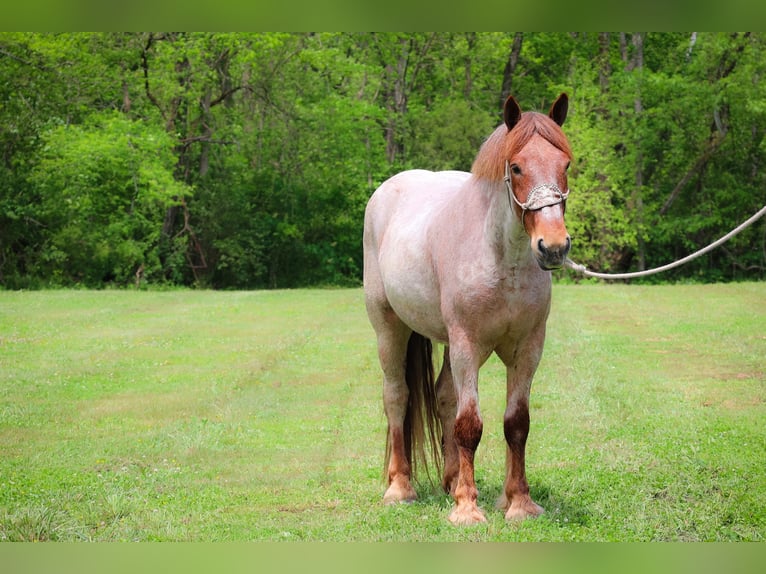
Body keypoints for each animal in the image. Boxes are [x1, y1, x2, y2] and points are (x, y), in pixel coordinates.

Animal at [364, 91, 572, 528]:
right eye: (516, 166)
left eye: (565, 164)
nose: (553, 246)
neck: (502, 260)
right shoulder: (467, 347)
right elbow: (469, 425)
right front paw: (467, 508)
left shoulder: (527, 350)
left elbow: (516, 423)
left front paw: (518, 502)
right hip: (390, 329)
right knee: (397, 397)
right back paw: (400, 488)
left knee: (443, 396)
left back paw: (450, 479)